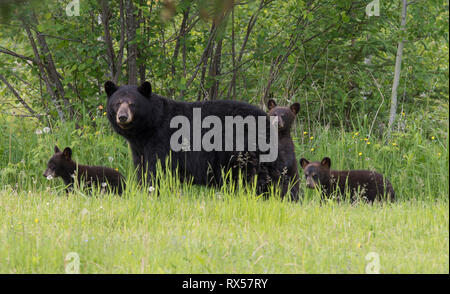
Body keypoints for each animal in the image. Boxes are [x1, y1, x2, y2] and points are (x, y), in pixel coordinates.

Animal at [105, 81, 280, 194]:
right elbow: (141, 166)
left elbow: (157, 168)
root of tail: (265, 119)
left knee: (253, 173)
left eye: (132, 103)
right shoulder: (139, 147)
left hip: (244, 147)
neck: (148, 128)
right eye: (117, 103)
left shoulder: (162, 140)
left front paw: (153, 190)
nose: (122, 116)